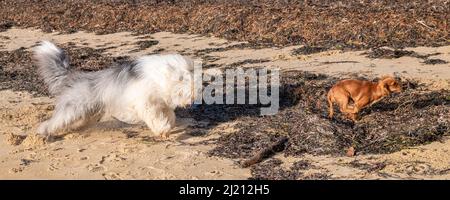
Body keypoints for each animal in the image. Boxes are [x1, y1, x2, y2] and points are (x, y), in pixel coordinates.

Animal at [33, 41, 195, 138]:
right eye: (183, 79)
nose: (192, 99)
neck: (161, 77)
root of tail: (78, 76)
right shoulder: (145, 103)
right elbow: (155, 117)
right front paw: (163, 129)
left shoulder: (161, 103)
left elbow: (169, 115)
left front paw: (169, 125)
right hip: (72, 109)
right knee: (53, 122)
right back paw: (43, 132)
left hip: (87, 111)